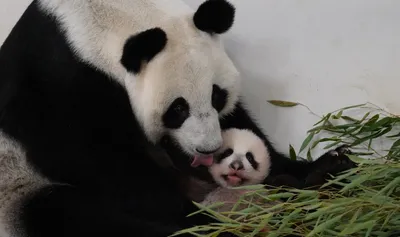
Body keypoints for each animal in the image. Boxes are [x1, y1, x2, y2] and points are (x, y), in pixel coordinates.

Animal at [0, 0, 354, 237]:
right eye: (178, 109)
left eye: (217, 95)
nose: (210, 149)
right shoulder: (56, 87)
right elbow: (98, 161)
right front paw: (189, 210)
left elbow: (244, 125)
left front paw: (317, 167)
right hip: (18, 191)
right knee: (68, 217)